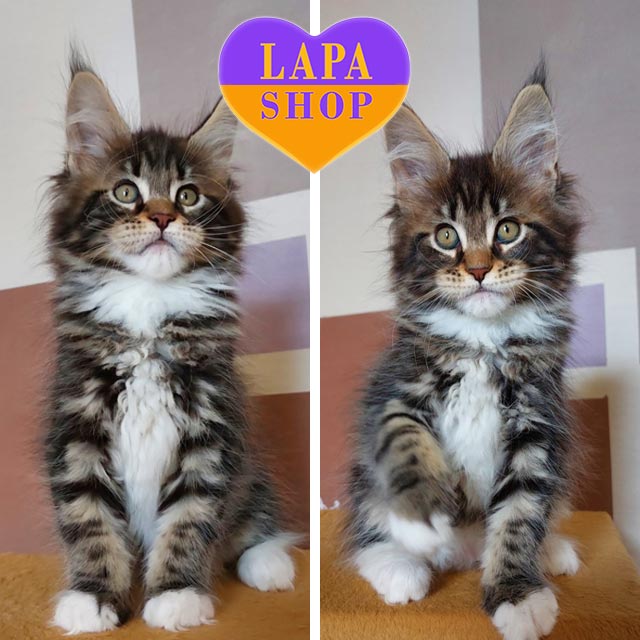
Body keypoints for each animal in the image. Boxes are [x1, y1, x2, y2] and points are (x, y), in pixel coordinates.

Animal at [44, 53, 298, 634]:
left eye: (187, 196)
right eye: (125, 191)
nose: (163, 217)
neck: (147, 309)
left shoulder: (214, 431)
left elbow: (191, 519)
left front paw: (177, 594)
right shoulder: (76, 427)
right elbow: (88, 519)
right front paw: (92, 597)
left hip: (253, 468)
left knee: (252, 519)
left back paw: (268, 562)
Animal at [344, 62, 582, 640]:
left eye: (508, 229)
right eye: (447, 237)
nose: (476, 270)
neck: (483, 344)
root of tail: (463, 550)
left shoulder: (539, 424)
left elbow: (520, 513)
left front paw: (516, 594)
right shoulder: (396, 391)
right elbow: (405, 442)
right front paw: (421, 515)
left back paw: (553, 551)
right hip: (361, 480)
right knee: (366, 533)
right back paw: (401, 563)